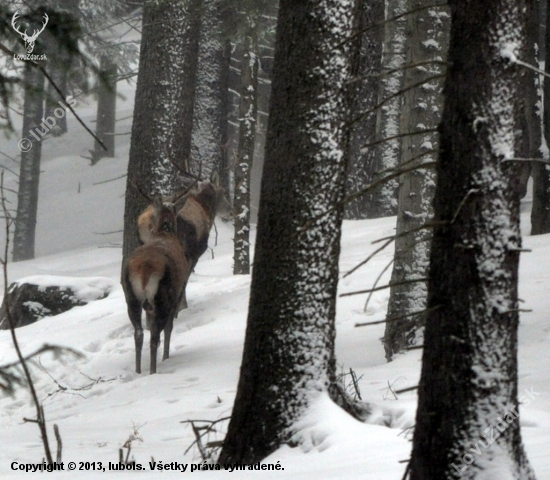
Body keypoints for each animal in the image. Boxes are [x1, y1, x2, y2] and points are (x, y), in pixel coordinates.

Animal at [123, 193, 194, 374]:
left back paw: (138, 371)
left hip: (130, 296)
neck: (165, 232)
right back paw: (153, 371)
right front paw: (166, 357)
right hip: (163, 295)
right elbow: (170, 327)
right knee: (155, 335)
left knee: (139, 332)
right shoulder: (179, 290)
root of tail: (143, 271)